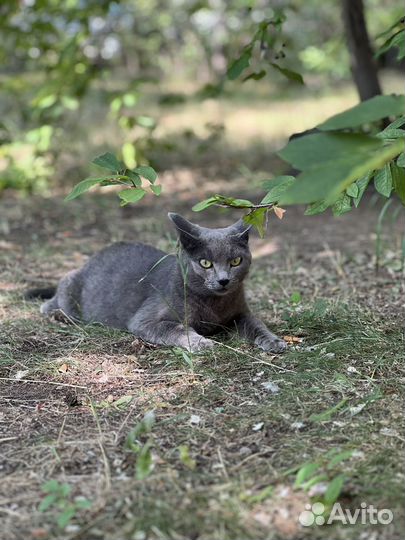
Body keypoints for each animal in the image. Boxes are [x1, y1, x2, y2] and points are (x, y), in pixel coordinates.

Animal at [30, 213, 286, 356]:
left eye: (235, 261)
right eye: (205, 263)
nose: (223, 280)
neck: (213, 305)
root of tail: (88, 261)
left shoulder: (239, 313)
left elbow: (257, 324)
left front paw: (274, 341)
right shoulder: (145, 320)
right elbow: (176, 328)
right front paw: (201, 343)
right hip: (69, 288)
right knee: (49, 304)